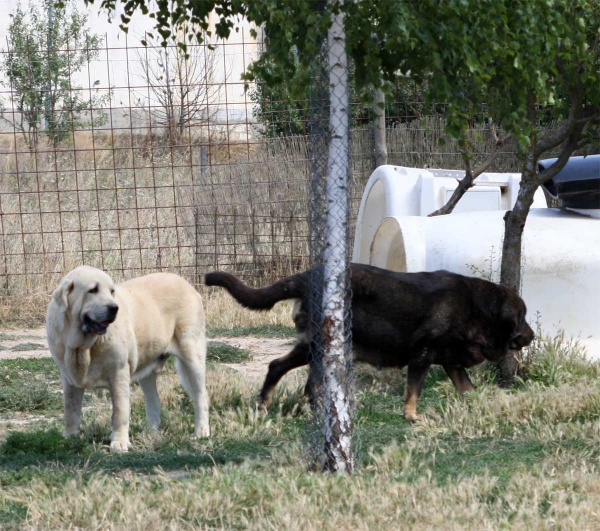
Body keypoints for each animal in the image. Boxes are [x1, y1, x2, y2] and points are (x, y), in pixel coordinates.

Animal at [45, 268, 209, 450]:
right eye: (93, 290)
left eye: (112, 291)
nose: (114, 308)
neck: (83, 347)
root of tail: (187, 284)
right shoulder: (69, 379)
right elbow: (70, 410)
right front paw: (70, 437)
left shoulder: (119, 373)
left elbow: (119, 412)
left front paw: (119, 442)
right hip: (148, 367)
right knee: (154, 400)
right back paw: (149, 433)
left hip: (192, 355)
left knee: (201, 395)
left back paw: (201, 432)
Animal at [206, 264, 536, 422]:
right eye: (521, 316)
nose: (532, 335)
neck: (476, 308)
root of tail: (304, 277)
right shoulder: (422, 355)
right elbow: (413, 391)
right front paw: (411, 416)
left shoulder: (452, 363)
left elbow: (470, 391)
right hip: (321, 347)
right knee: (300, 380)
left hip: (314, 349)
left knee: (284, 371)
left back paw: (268, 405)